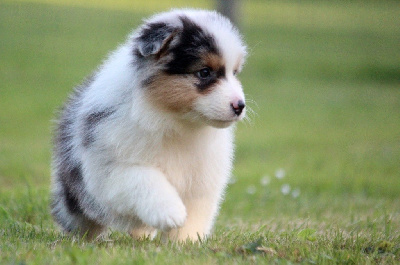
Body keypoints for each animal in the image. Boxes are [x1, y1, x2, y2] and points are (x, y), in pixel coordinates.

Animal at [50, 8, 247, 240]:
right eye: (204, 72)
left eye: (234, 73)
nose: (240, 105)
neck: (175, 121)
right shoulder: (111, 168)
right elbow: (145, 178)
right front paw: (171, 212)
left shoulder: (201, 181)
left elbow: (194, 216)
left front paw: (185, 242)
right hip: (75, 189)